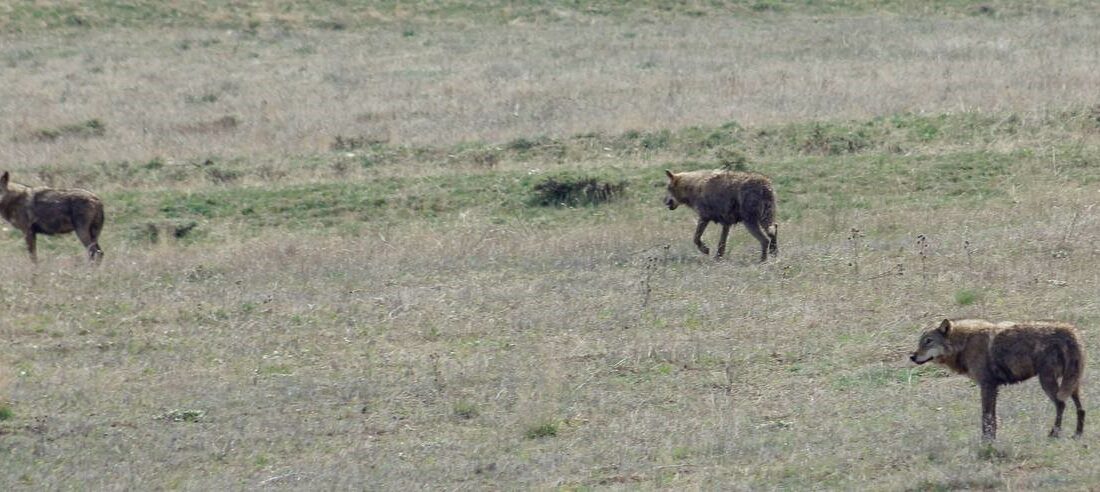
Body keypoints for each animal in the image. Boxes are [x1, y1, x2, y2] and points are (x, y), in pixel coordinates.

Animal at [910, 319, 1082, 442]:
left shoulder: (987, 386)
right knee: (1081, 409)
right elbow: (992, 418)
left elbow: (986, 417)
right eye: (921, 341)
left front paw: (986, 441)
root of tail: (1067, 330)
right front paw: (992, 439)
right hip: (1071, 384)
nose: (912, 356)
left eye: (928, 341)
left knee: (1061, 405)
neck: (965, 343)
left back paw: (1054, 434)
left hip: (1048, 382)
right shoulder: (993, 388)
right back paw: (1078, 434)